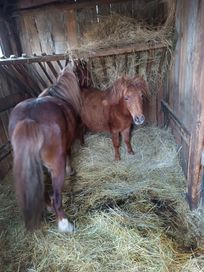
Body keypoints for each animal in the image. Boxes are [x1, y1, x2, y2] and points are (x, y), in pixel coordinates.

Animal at [8, 65, 81, 232]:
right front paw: (70, 170)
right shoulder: (67, 147)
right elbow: (69, 155)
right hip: (56, 166)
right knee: (57, 198)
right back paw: (65, 224)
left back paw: (48, 207)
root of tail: (29, 118)